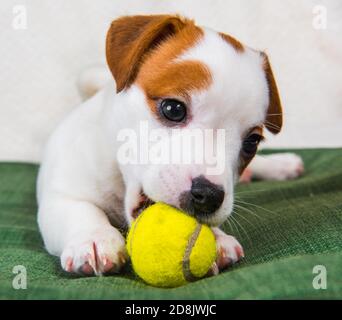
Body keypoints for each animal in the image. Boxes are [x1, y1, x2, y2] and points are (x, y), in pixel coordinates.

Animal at [37, 14, 304, 276]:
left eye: (251, 142)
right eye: (173, 109)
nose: (209, 196)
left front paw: (218, 237)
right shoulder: (60, 197)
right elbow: (81, 211)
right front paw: (95, 237)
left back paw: (282, 164)